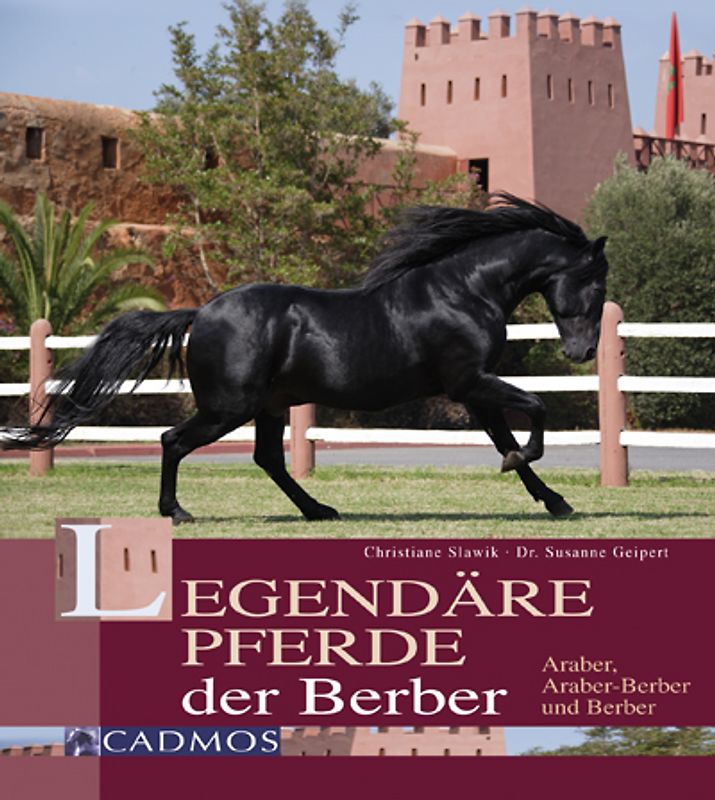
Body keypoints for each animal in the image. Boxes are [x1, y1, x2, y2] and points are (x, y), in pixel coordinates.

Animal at [3, 193, 607, 524]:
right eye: (597, 282)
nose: (580, 351)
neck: (461, 291)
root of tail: (203, 310)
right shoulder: (470, 382)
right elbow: (535, 413)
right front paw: (539, 478)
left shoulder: (474, 388)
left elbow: (506, 440)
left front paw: (554, 501)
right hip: (229, 407)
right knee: (173, 441)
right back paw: (178, 512)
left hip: (269, 405)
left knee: (268, 458)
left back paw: (318, 510)